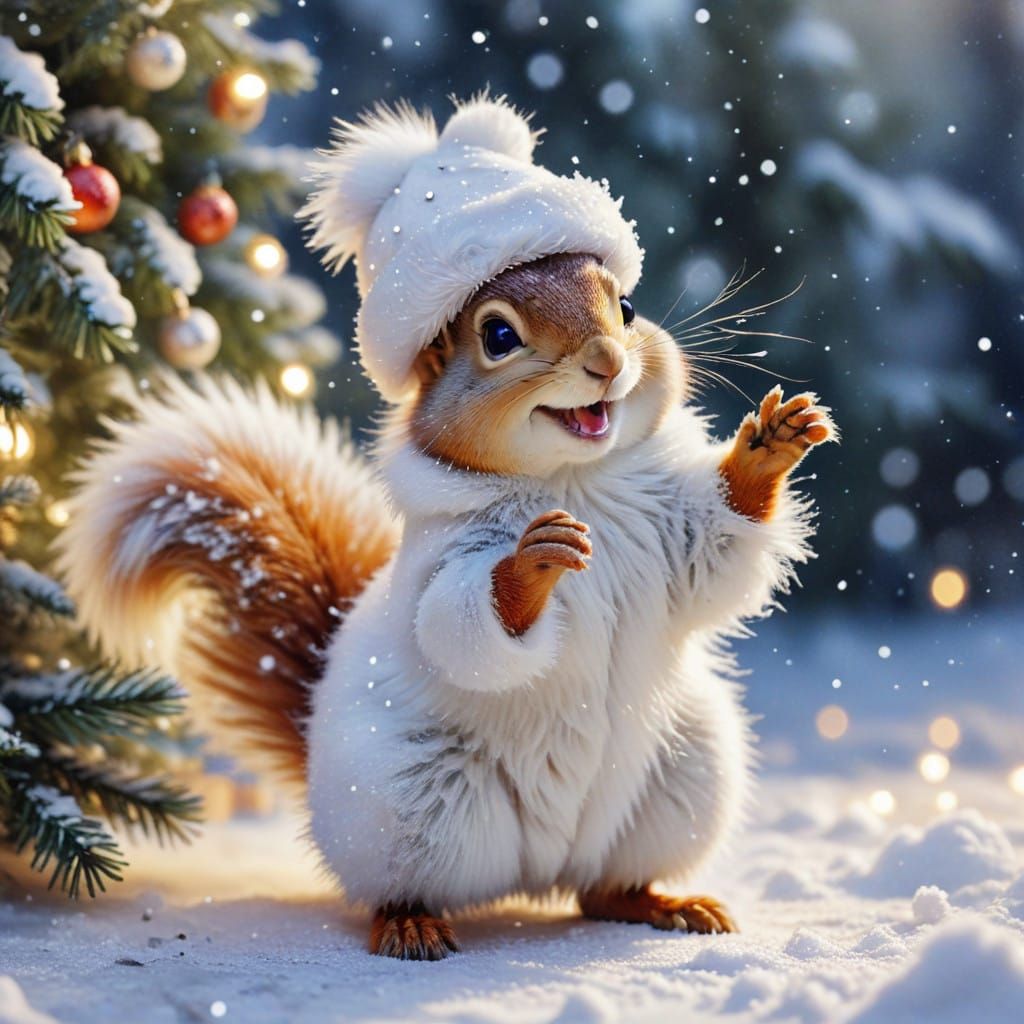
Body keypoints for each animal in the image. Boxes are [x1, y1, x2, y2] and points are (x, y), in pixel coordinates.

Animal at [56, 96, 835, 961]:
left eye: (627, 308)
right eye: (497, 337)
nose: (606, 360)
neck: (573, 479)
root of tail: (536, 870)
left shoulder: (666, 530)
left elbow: (715, 556)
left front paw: (771, 447)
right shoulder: (441, 554)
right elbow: (457, 623)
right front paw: (532, 564)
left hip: (680, 778)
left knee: (602, 888)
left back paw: (662, 902)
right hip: (409, 797)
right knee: (408, 881)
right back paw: (412, 921)